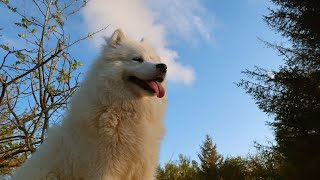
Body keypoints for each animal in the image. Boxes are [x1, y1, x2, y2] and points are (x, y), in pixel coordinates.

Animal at [10, 29, 168, 180]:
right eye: (137, 59)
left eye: (153, 60)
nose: (163, 66)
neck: (127, 109)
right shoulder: (104, 169)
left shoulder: (144, 169)